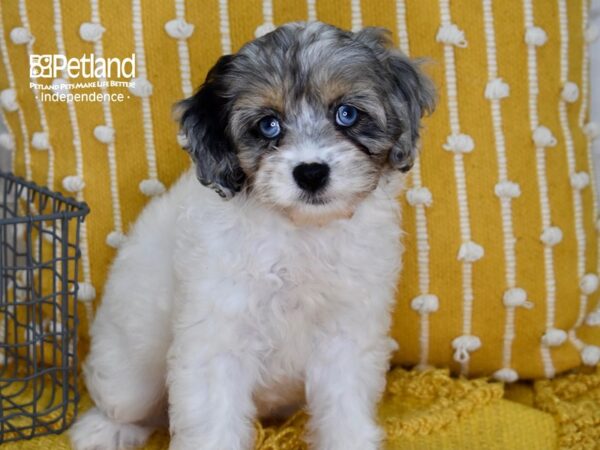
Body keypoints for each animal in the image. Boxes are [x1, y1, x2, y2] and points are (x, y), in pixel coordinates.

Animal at [71, 22, 436, 450]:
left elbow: (343, 408)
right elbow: (212, 422)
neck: (300, 231)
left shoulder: (347, 333)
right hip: (131, 370)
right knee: (125, 403)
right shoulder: (217, 335)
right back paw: (103, 430)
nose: (311, 172)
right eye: (268, 125)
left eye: (347, 114)